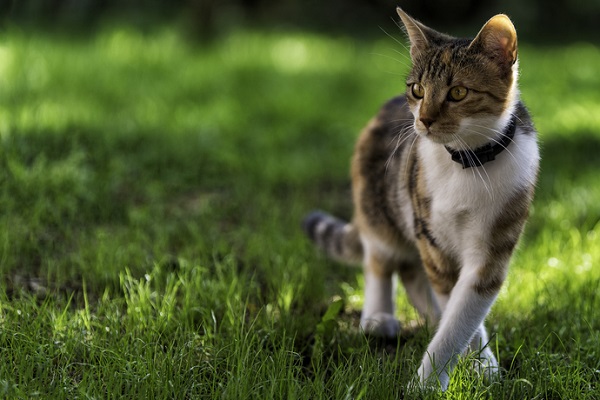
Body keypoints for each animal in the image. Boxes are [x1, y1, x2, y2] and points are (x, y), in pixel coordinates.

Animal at [302, 7, 540, 390]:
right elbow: (453, 303)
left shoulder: (494, 243)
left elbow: (464, 312)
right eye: (418, 89)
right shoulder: (432, 236)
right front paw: (437, 378)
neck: (468, 162)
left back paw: (430, 316)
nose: (425, 120)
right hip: (383, 206)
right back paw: (378, 316)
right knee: (380, 258)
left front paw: (476, 364)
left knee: (412, 272)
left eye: (458, 92)